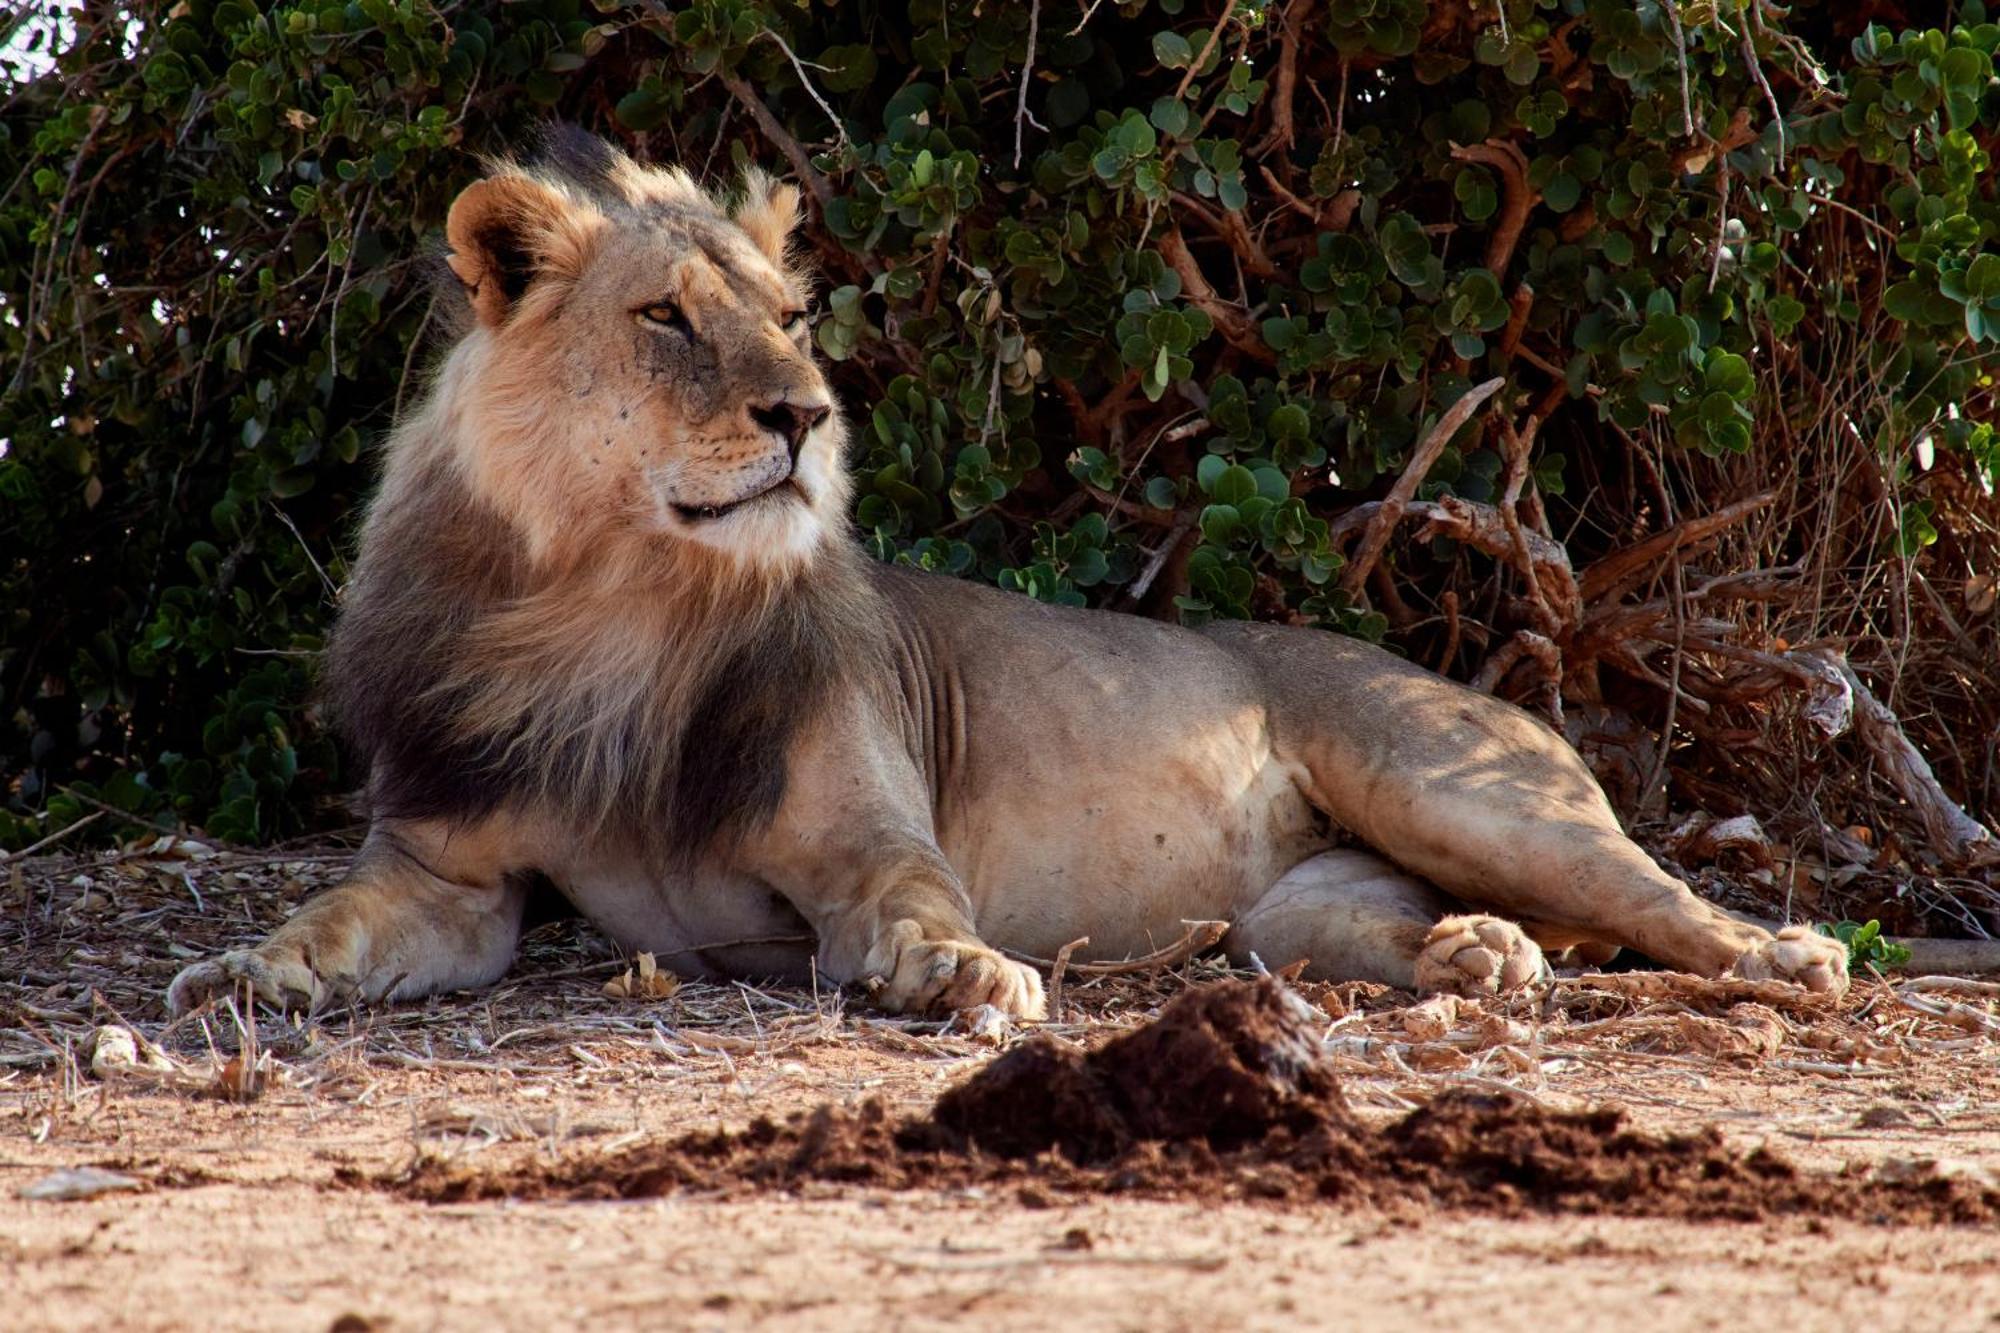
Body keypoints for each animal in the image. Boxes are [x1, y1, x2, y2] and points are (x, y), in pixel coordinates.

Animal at [164, 132, 1848, 1016]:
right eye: (667, 317)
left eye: (791, 314)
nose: (806, 414)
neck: (615, 616)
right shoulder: (443, 872)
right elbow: (338, 917)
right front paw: (241, 971)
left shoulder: (870, 844)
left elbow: (917, 910)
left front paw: (970, 974)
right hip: (1299, 916)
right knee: (1395, 931)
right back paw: (1478, 957)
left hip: (1465, 788)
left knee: (1663, 901)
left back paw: (1782, 952)